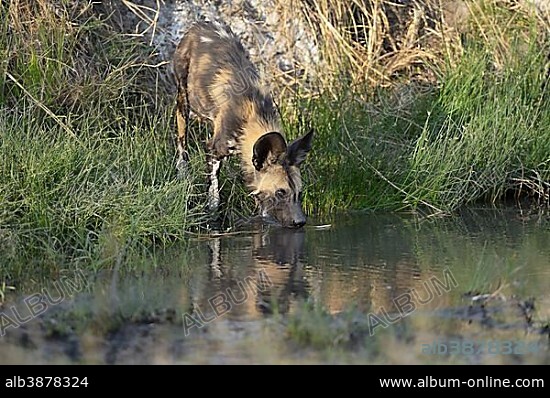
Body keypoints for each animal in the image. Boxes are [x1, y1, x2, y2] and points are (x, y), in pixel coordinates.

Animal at [175, 21, 316, 227]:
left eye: (299, 192)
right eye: (280, 192)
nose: (300, 222)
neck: (252, 119)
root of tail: (201, 24)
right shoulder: (214, 150)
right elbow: (214, 194)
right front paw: (213, 217)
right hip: (183, 101)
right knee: (181, 143)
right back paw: (182, 172)